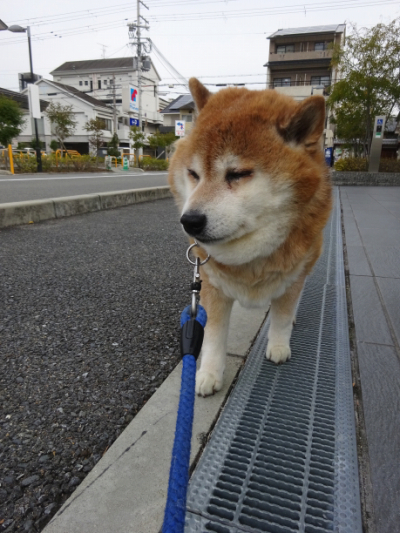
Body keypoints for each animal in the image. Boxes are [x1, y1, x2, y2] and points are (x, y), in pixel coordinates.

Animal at [167, 78, 332, 394]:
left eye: (238, 174)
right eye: (193, 173)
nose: (189, 221)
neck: (250, 257)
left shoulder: (292, 275)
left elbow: (281, 316)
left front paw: (279, 346)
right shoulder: (212, 285)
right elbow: (213, 336)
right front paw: (208, 373)